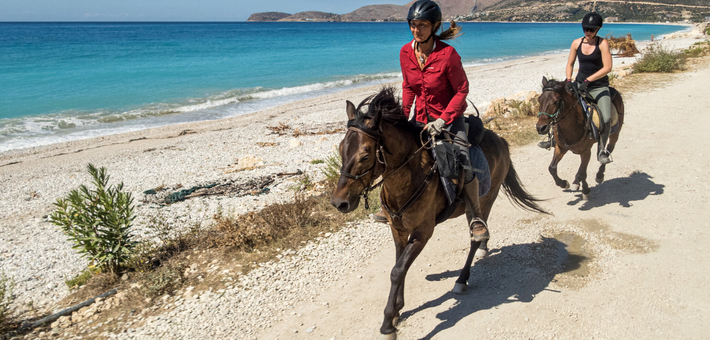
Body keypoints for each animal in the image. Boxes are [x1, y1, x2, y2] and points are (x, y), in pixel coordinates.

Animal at [330, 88, 548, 340]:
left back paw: (462, 278)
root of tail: (500, 140)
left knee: (476, 235)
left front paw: (388, 323)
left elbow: (397, 270)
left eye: (365, 155)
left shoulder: (422, 233)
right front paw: (397, 310)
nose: (339, 202)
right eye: (341, 149)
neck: (408, 177)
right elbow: (399, 265)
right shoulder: (397, 230)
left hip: (485, 200)